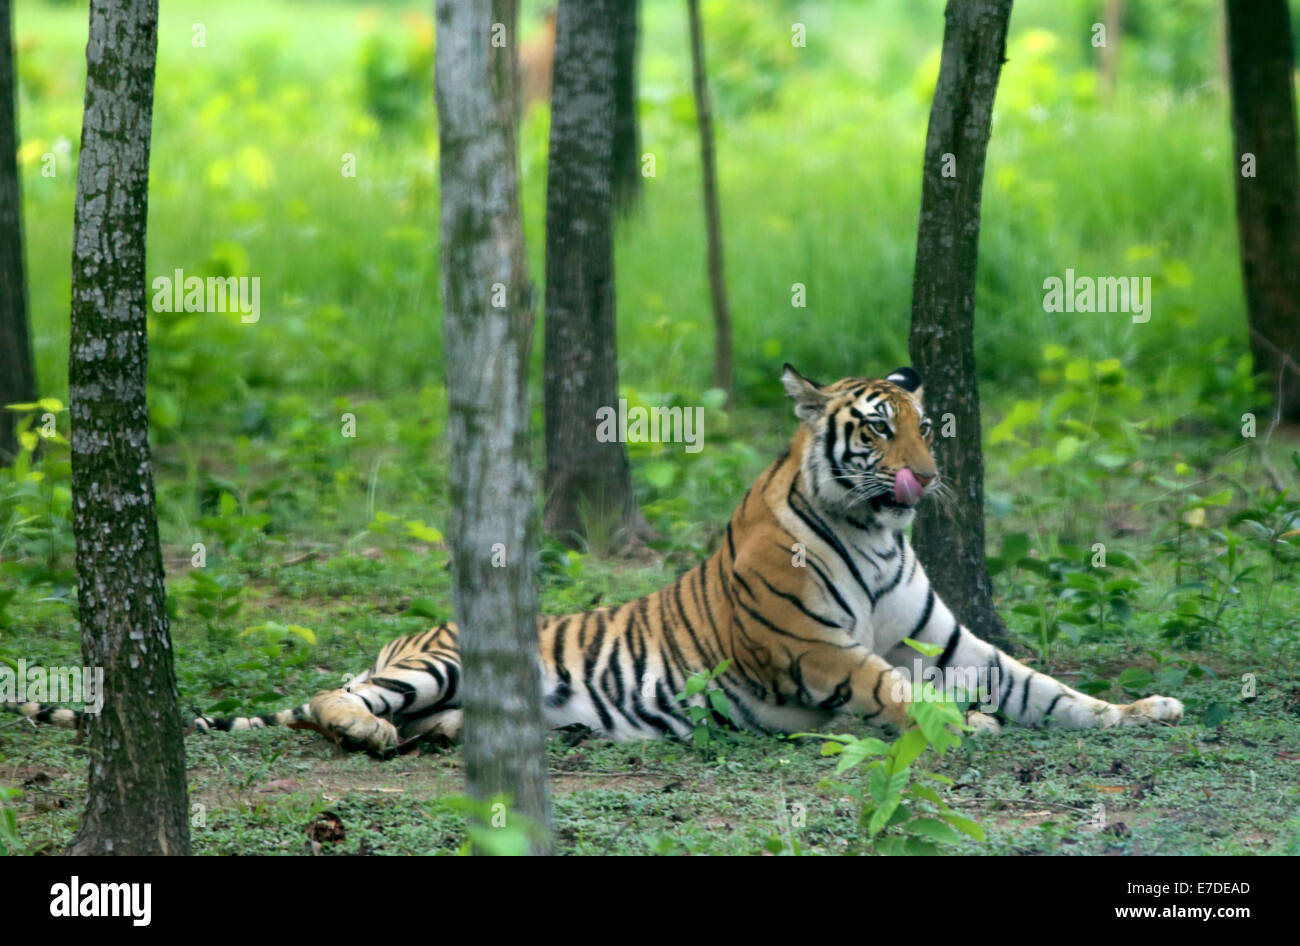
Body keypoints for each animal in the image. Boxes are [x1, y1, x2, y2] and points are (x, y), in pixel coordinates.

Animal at [10, 365, 1182, 751]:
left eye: (925, 428)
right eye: (877, 430)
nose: (927, 479)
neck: (874, 534)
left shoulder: (953, 638)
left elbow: (1044, 686)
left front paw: (1144, 710)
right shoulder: (814, 652)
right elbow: (895, 686)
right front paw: (959, 723)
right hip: (428, 660)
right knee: (328, 696)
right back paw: (373, 733)